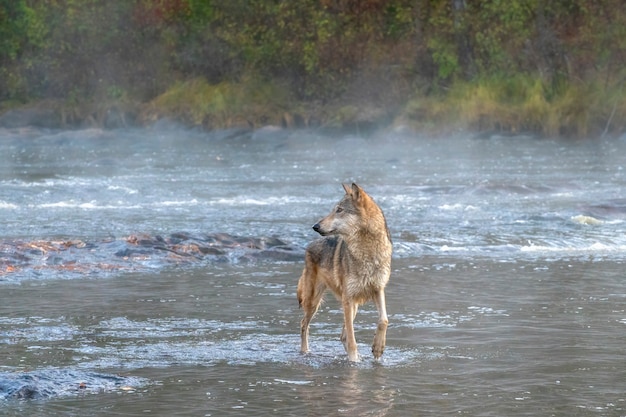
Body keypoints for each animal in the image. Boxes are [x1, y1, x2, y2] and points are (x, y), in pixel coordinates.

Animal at [296, 182, 390, 360]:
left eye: (339, 210)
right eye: (334, 209)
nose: (315, 226)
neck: (367, 253)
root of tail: (309, 245)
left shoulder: (378, 289)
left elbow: (384, 319)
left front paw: (378, 348)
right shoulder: (348, 298)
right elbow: (352, 338)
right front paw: (353, 360)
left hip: (352, 305)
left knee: (342, 335)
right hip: (314, 302)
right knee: (304, 324)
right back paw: (305, 352)